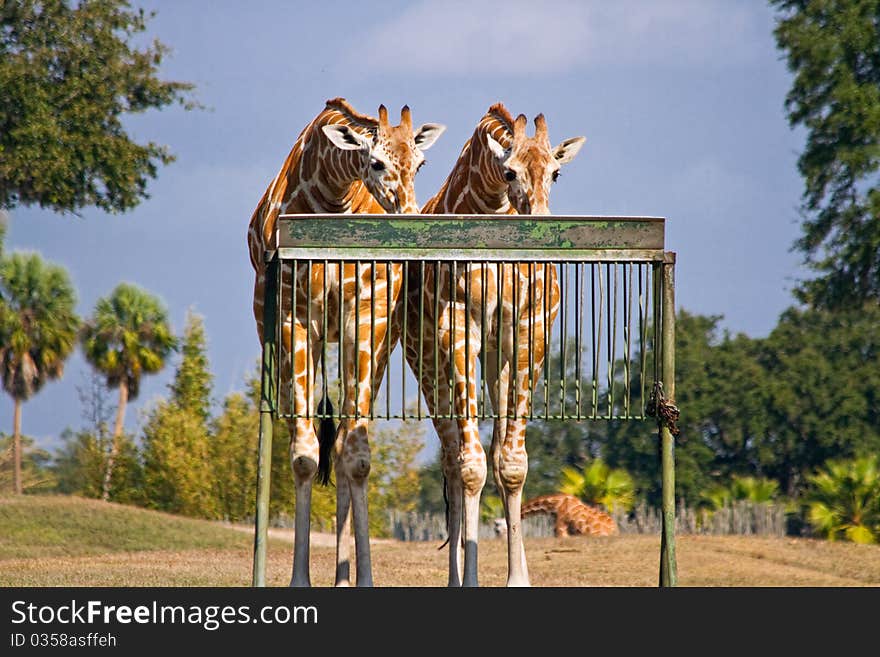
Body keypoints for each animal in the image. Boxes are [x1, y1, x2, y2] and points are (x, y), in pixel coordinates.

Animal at [246, 96, 444, 584]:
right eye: (375, 163)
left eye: (421, 162)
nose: (411, 220)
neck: (329, 195)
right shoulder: (294, 317)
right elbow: (303, 454)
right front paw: (299, 579)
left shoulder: (366, 315)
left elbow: (356, 455)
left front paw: (363, 577)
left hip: (382, 341)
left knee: (340, 446)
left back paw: (342, 576)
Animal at [404, 102, 584, 584]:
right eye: (508, 172)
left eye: (557, 172)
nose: (540, 237)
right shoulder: (457, 329)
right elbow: (470, 465)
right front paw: (468, 578)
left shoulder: (528, 332)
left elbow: (512, 463)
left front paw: (517, 578)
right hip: (423, 357)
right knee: (451, 458)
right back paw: (454, 575)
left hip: (494, 362)